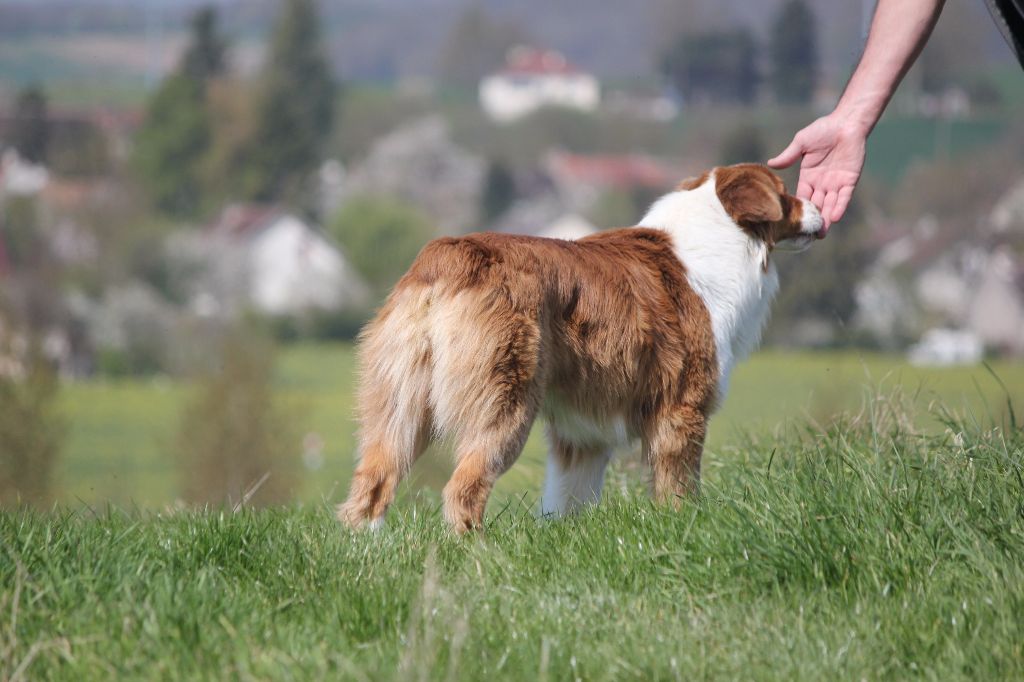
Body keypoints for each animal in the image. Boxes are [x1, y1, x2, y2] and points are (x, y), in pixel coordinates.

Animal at [335, 163, 823, 532]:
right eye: (785, 193)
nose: (820, 209)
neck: (720, 235)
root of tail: (448, 255)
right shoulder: (680, 410)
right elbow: (679, 487)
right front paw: (685, 527)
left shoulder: (582, 434)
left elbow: (568, 500)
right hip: (504, 404)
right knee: (463, 488)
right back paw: (479, 555)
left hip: (398, 404)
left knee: (372, 483)